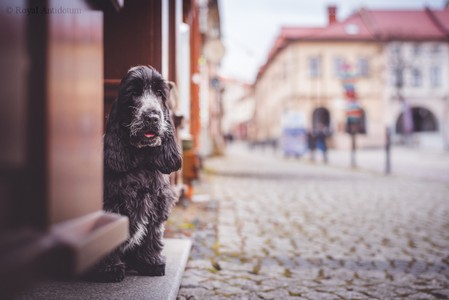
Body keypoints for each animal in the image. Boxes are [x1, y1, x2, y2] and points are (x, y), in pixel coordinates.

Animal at [88, 65, 182, 282]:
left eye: (159, 93)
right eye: (133, 93)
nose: (153, 117)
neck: (141, 163)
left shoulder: (157, 203)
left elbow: (152, 235)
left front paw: (152, 264)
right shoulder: (112, 205)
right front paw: (109, 270)